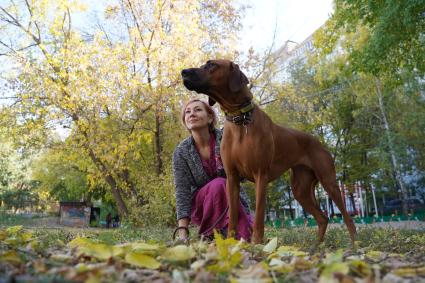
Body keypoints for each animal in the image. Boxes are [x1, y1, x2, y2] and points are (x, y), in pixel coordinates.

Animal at [181, 59, 356, 244]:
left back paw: (354, 244)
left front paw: (256, 243)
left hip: (329, 182)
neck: (240, 119)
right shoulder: (232, 178)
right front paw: (230, 242)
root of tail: (319, 142)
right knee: (323, 218)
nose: (183, 72)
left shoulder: (261, 175)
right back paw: (317, 246)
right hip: (300, 190)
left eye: (211, 65)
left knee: (347, 218)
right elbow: (233, 216)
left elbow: (259, 216)